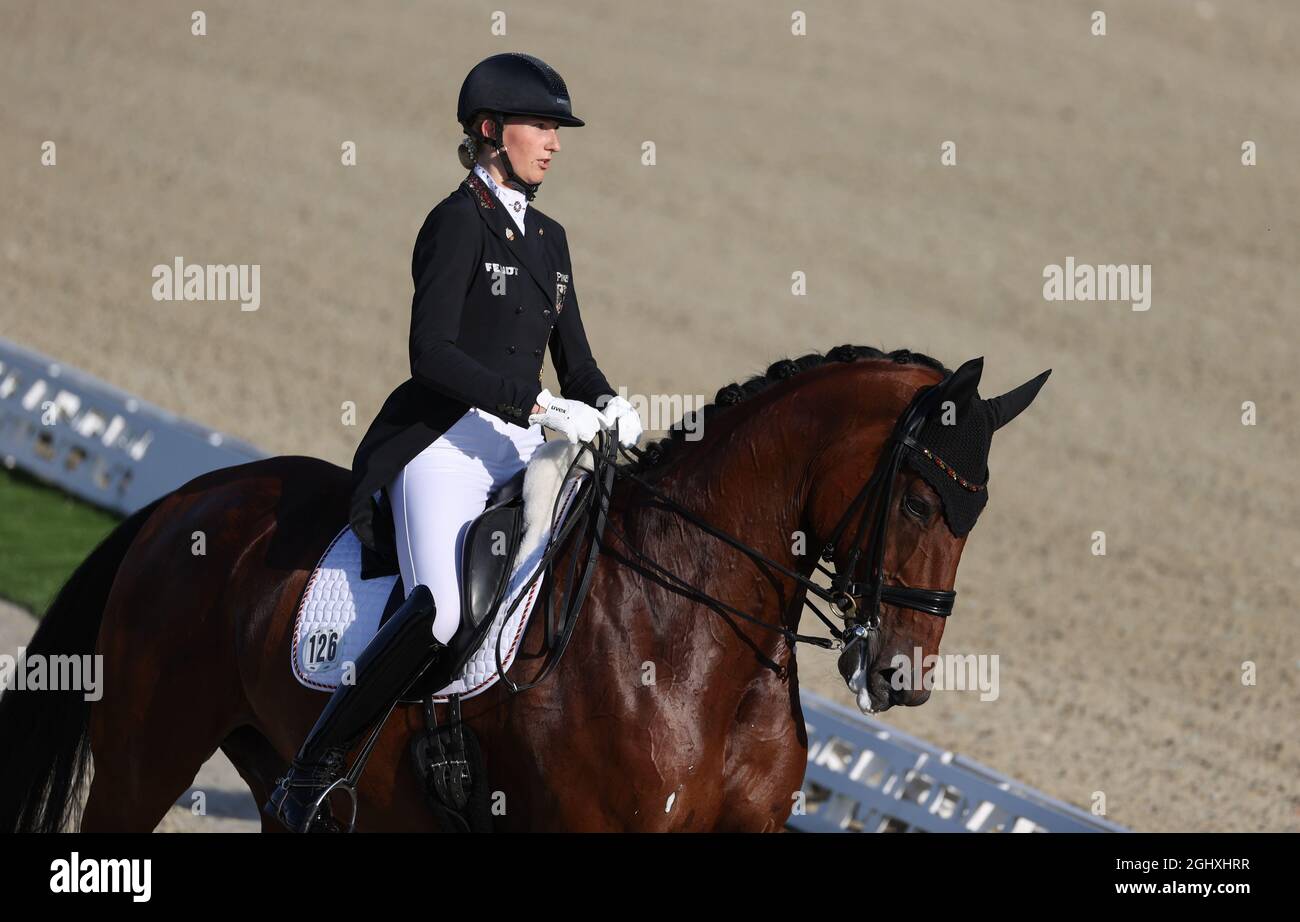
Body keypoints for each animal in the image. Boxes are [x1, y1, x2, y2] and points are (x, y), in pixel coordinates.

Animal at [0, 340, 1045, 832]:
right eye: (920, 500)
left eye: (978, 511)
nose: (901, 673)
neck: (693, 638)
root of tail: (190, 497)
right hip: (144, 758)